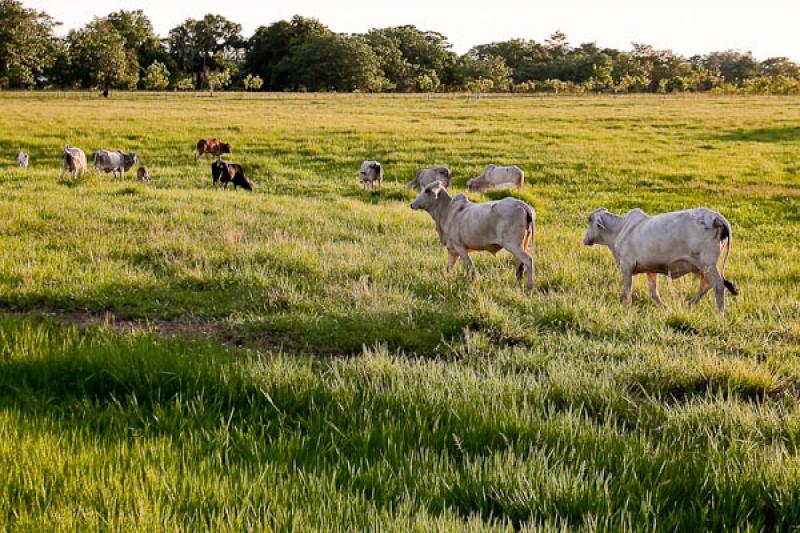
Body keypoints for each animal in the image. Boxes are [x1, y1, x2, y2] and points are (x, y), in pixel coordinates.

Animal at [580, 206, 736, 314]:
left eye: (589, 220)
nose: (585, 240)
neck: (620, 229)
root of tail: (716, 216)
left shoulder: (626, 266)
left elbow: (627, 290)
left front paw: (627, 307)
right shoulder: (651, 269)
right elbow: (653, 292)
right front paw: (665, 307)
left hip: (708, 264)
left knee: (718, 285)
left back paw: (720, 314)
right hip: (699, 266)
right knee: (706, 284)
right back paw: (689, 304)